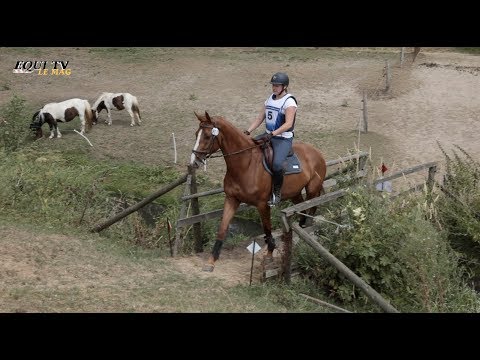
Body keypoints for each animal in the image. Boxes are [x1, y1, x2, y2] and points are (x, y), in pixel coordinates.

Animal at [190, 111, 326, 272]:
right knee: (301, 209)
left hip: (312, 190)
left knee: (310, 210)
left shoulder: (262, 204)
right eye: (196, 134)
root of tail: (317, 152)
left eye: (207, 136)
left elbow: (267, 229)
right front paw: (211, 261)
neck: (245, 164)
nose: (194, 161)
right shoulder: (231, 199)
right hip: (295, 193)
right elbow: (222, 229)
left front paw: (269, 254)